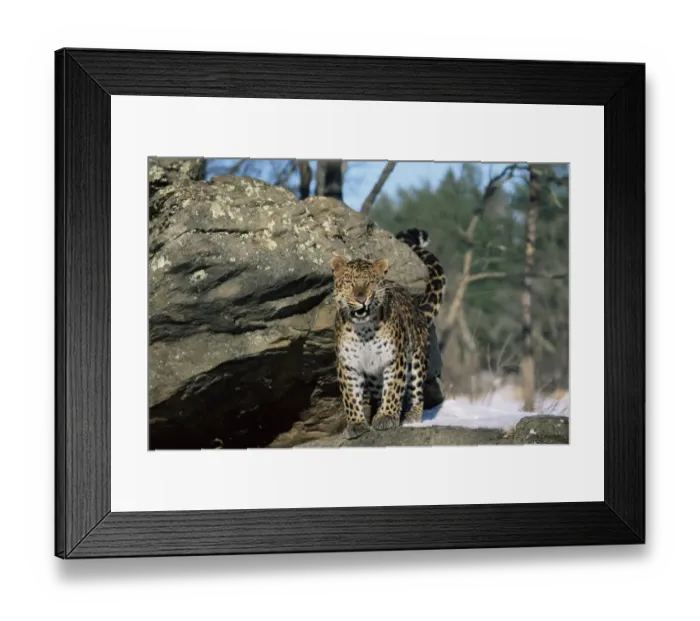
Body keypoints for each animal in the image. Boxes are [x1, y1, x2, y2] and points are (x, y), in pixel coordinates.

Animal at [330, 228, 446, 440]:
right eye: (350, 283)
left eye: (370, 283)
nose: (361, 298)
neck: (364, 329)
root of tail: (416, 306)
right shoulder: (348, 364)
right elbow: (351, 396)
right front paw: (357, 424)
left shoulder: (395, 358)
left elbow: (393, 389)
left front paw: (386, 417)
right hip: (375, 376)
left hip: (416, 359)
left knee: (416, 391)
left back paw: (411, 417)